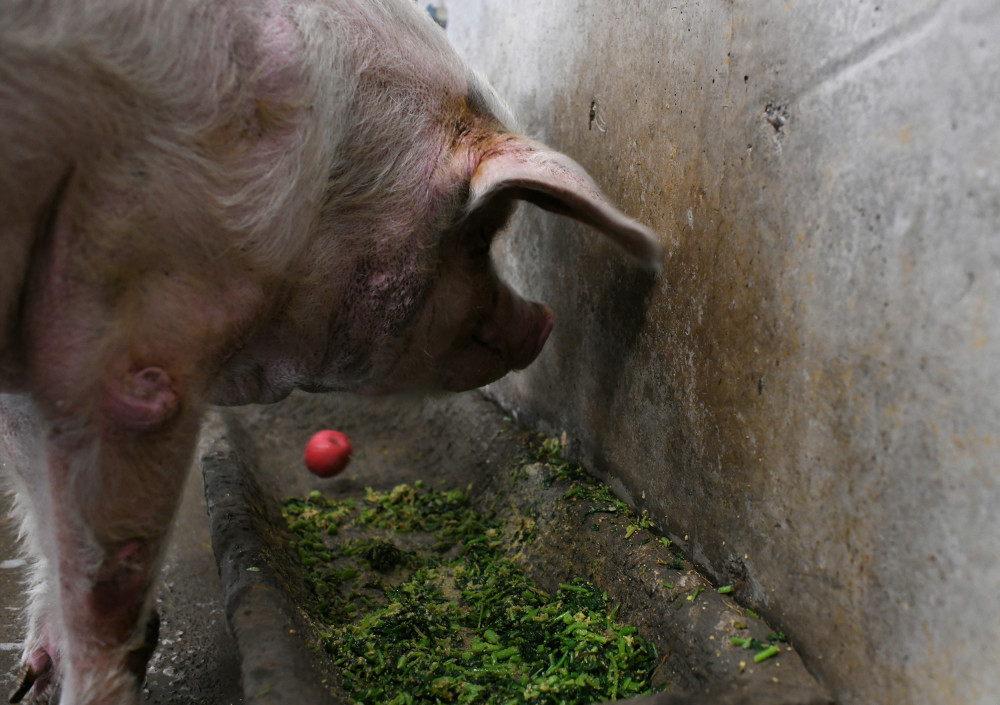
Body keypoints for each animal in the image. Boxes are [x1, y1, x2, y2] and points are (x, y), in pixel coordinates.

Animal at [1, 0, 664, 700]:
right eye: (480, 234)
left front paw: (36, 679)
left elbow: (42, 509)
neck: (324, 171)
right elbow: (103, 580)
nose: (543, 322)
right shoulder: (143, 339)